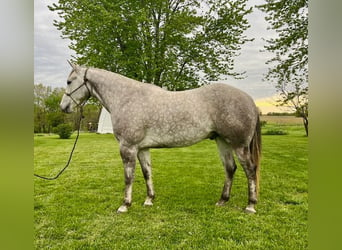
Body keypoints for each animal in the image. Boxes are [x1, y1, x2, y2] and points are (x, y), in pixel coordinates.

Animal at [60, 62, 260, 213]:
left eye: (69, 81)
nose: (63, 107)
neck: (126, 98)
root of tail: (249, 100)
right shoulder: (142, 148)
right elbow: (147, 172)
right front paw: (149, 199)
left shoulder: (128, 148)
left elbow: (128, 177)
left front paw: (125, 205)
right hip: (222, 142)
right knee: (230, 168)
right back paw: (222, 201)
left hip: (239, 145)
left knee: (250, 170)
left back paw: (250, 205)